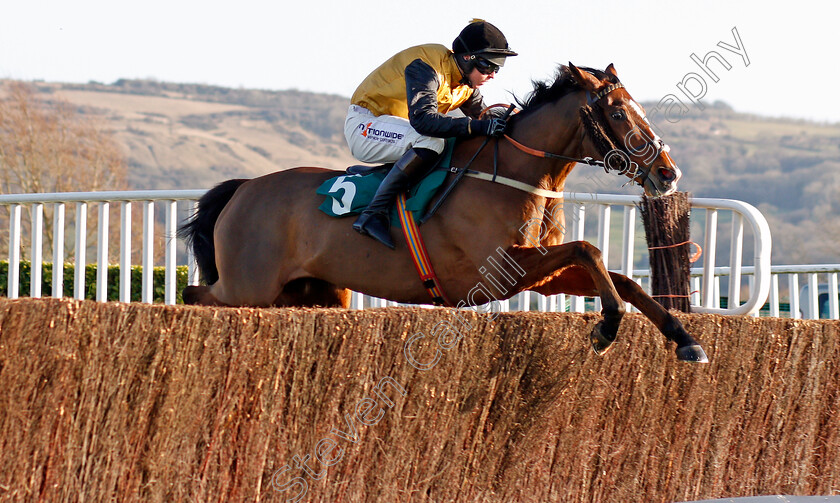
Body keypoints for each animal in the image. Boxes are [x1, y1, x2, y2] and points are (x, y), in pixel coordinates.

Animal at [182, 64, 708, 362]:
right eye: (618, 113)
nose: (668, 172)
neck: (513, 173)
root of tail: (244, 188)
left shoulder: (538, 273)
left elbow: (620, 278)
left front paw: (684, 338)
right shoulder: (500, 271)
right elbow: (589, 249)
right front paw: (607, 327)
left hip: (316, 294)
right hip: (247, 288)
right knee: (193, 296)